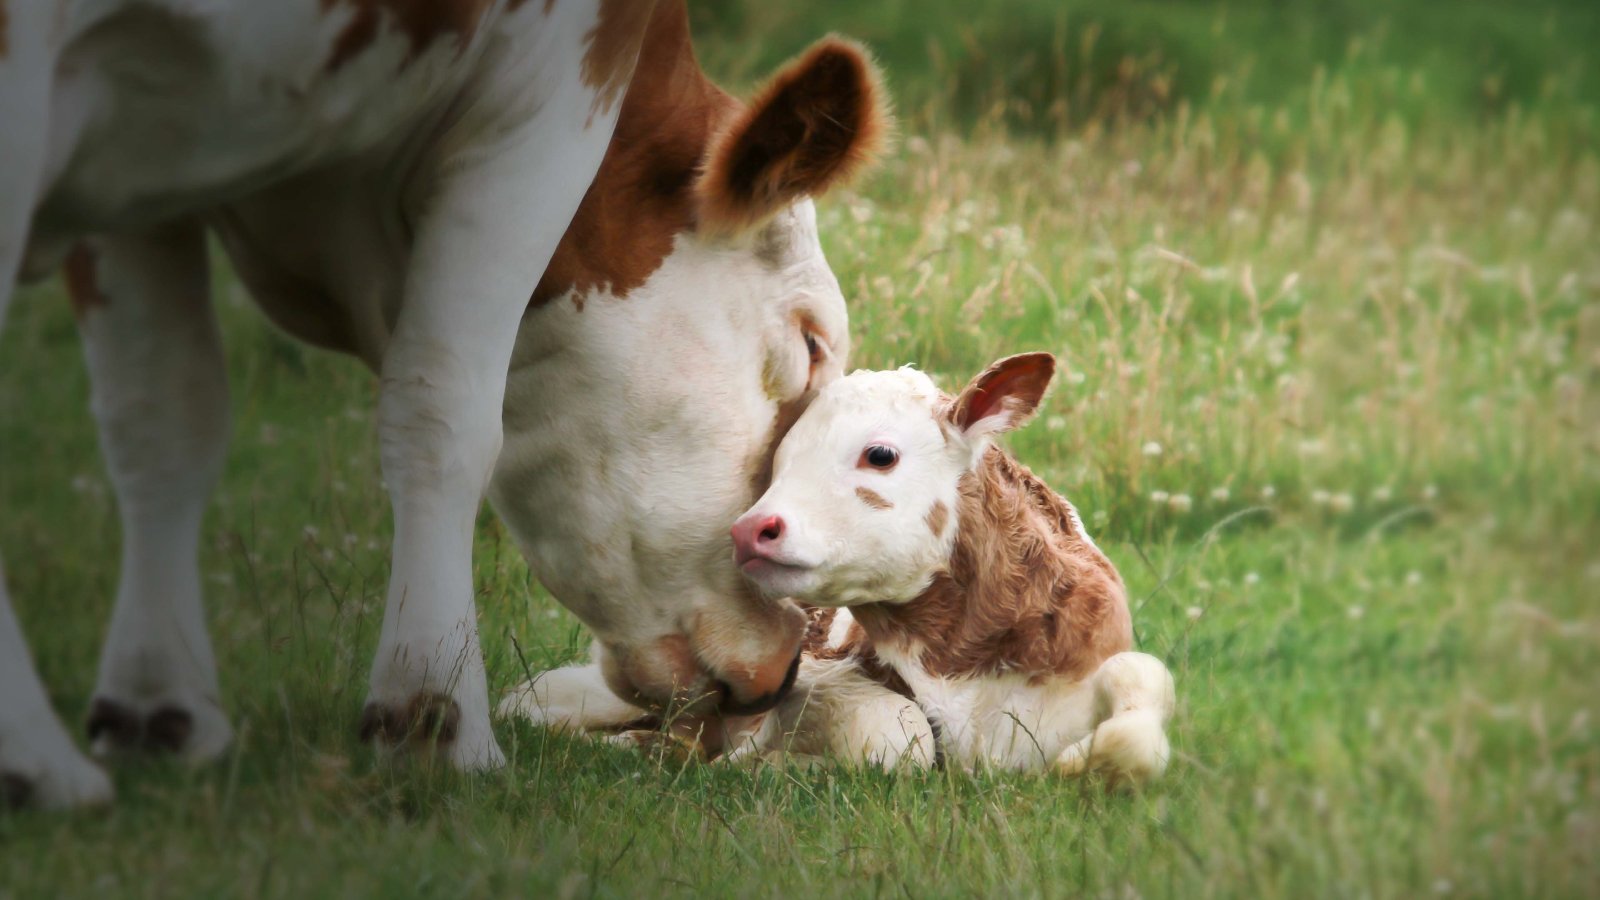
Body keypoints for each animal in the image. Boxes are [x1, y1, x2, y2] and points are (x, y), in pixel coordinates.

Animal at [0, 0, 888, 808]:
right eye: (811, 345)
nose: (788, 659)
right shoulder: (551, 94)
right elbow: (445, 413)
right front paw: (434, 718)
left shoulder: (145, 188)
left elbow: (162, 416)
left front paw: (159, 707)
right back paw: (35, 759)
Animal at [511, 354, 1175, 782]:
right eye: (778, 461)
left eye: (879, 454)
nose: (751, 529)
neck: (966, 660)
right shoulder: (817, 675)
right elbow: (900, 733)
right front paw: (769, 764)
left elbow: (1143, 695)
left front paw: (1079, 765)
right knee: (531, 701)